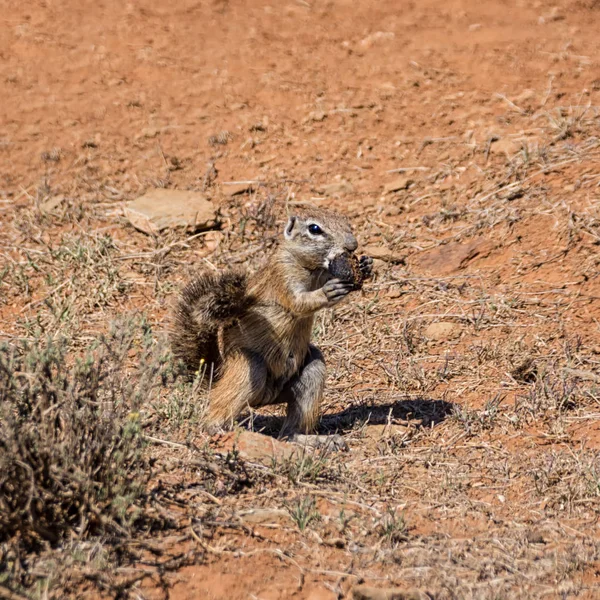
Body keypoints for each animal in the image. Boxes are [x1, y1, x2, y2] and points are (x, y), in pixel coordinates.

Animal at [170, 206, 370, 446]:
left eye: (347, 222)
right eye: (314, 229)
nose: (352, 245)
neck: (310, 268)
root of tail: (216, 375)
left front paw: (366, 265)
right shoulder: (282, 276)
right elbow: (298, 303)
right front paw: (327, 292)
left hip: (312, 370)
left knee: (289, 432)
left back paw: (316, 441)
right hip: (248, 366)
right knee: (218, 409)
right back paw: (218, 428)